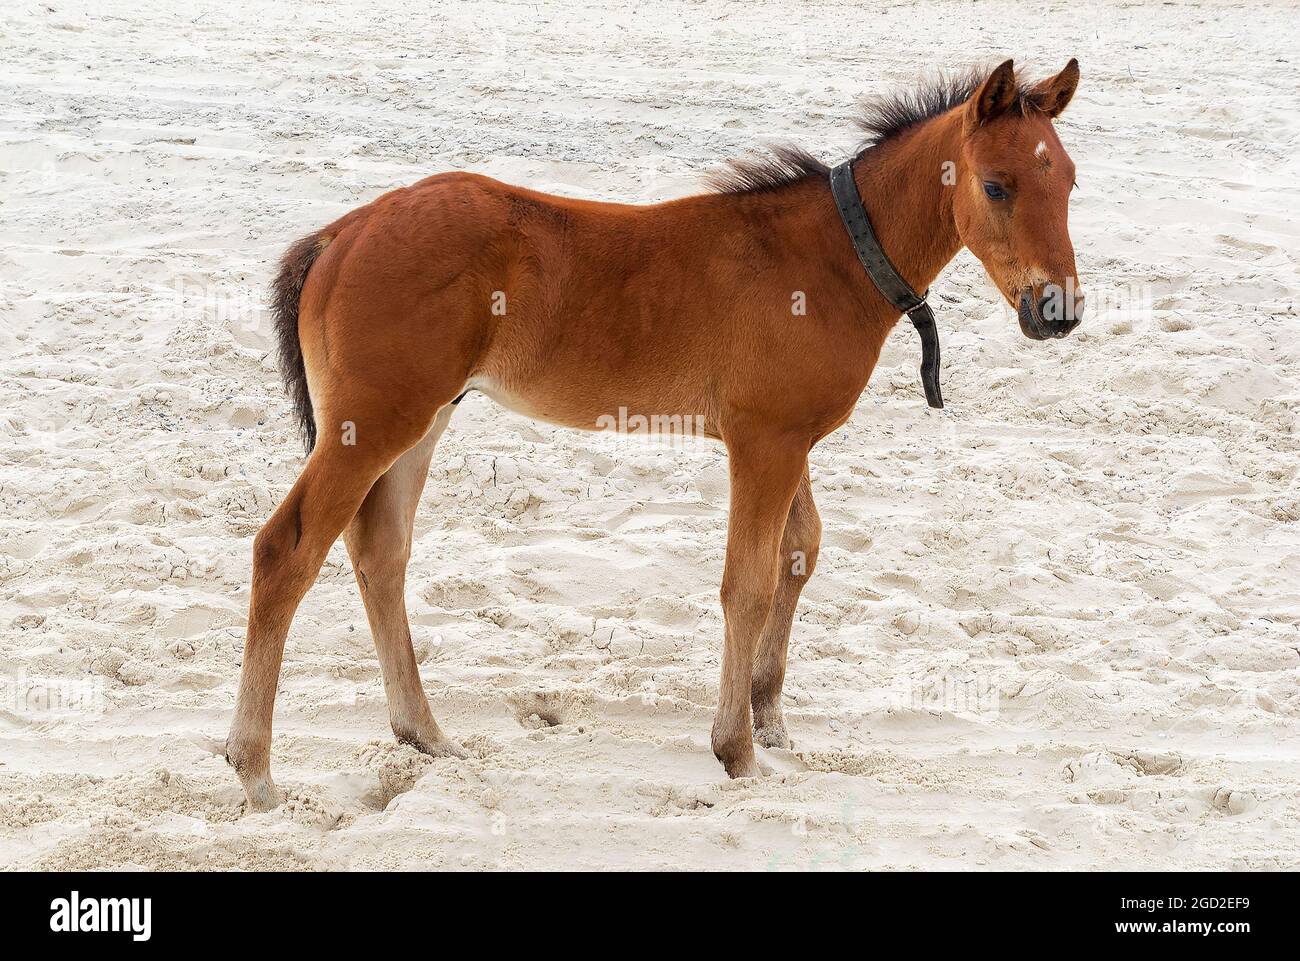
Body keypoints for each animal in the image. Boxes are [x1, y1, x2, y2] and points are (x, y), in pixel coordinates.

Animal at [226, 58, 1085, 810]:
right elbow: (748, 581)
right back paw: (256, 770)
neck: (832, 257)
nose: (1058, 311)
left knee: (381, 551)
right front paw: (736, 749)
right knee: (286, 549)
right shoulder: (764, 443)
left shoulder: (789, 437)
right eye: (996, 185)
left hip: (422, 420)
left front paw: (770, 714)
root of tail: (341, 233)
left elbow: (801, 549)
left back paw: (426, 733)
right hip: (372, 421)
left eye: (1070, 181)